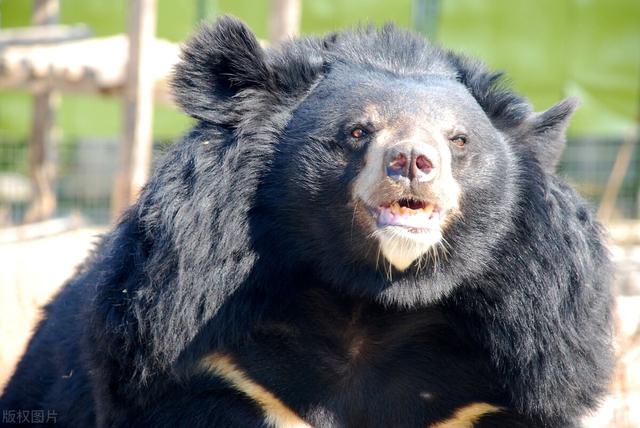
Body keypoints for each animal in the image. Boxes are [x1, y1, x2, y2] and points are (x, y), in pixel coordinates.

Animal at [1, 16, 613, 428]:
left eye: (458, 140)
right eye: (359, 131)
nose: (413, 162)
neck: (370, 302)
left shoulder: (505, 382)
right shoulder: (206, 358)